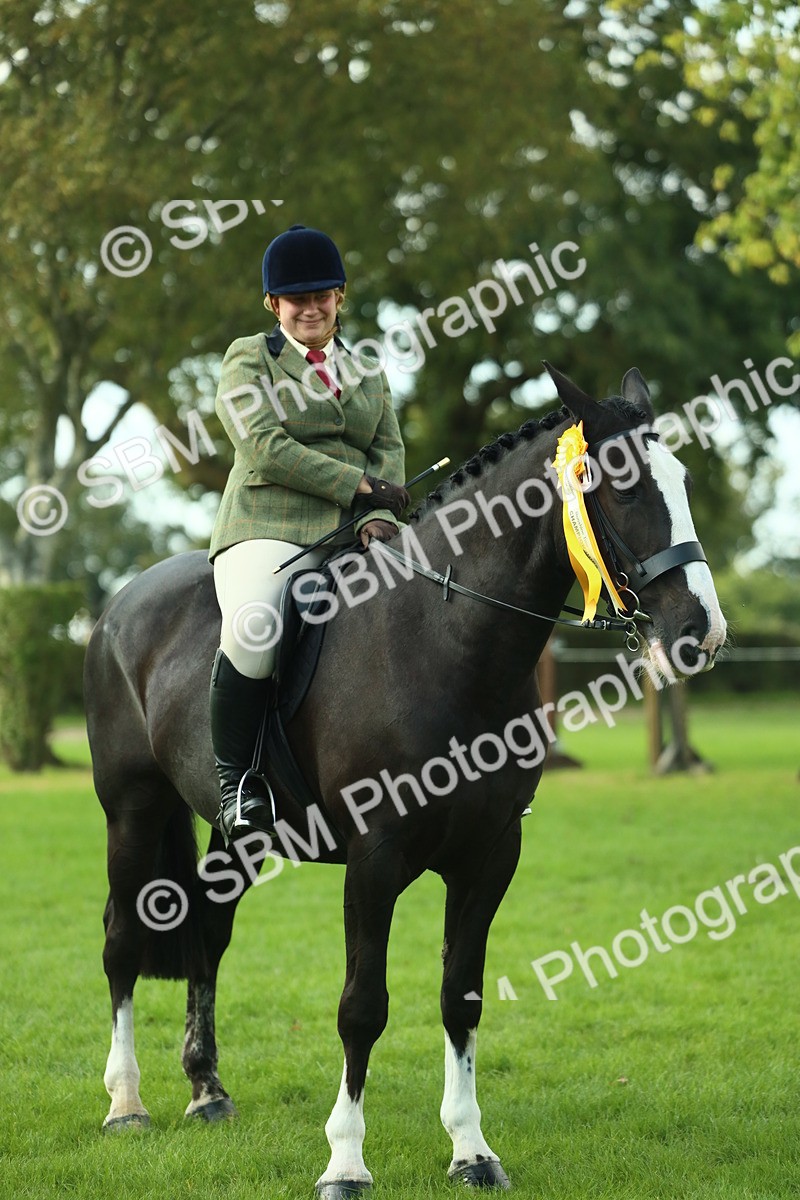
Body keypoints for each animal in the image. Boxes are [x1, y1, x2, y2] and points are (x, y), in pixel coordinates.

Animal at [84, 364, 727, 1196]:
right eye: (617, 486)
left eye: (683, 481)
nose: (701, 635)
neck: (445, 638)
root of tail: (119, 605)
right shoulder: (375, 858)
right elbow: (363, 1007)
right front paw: (345, 1163)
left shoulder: (490, 856)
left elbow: (462, 997)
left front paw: (472, 1150)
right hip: (131, 810)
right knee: (123, 941)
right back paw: (126, 1105)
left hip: (234, 833)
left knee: (208, 933)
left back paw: (207, 1091)